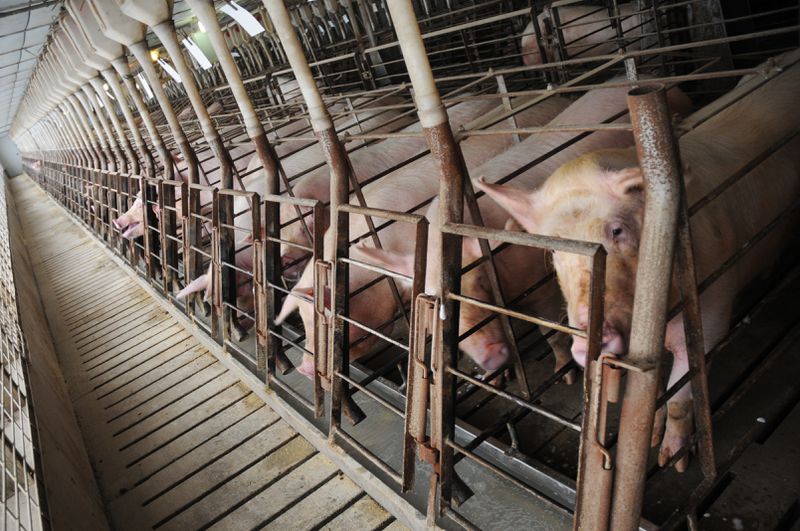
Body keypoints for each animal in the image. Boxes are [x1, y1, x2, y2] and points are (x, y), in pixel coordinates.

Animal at [476, 59, 800, 474]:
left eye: (617, 230)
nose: (588, 339)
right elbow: (655, 393)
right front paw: (654, 435)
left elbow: (680, 399)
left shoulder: (713, 307)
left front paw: (671, 462)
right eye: (555, 253)